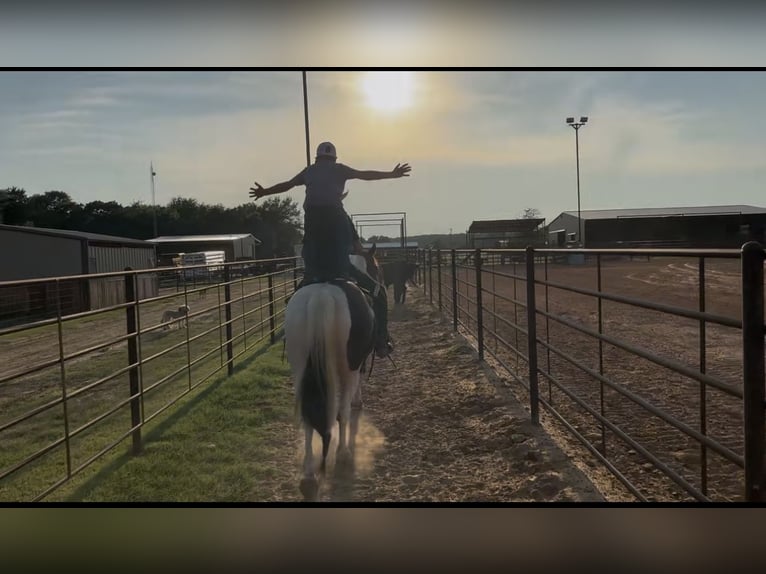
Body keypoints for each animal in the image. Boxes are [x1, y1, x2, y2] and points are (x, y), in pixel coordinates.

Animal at [284, 244, 384, 501]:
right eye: (376, 267)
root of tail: (322, 296)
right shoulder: (356, 363)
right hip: (346, 367)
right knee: (342, 411)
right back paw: (343, 454)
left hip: (300, 368)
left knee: (308, 419)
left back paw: (309, 477)